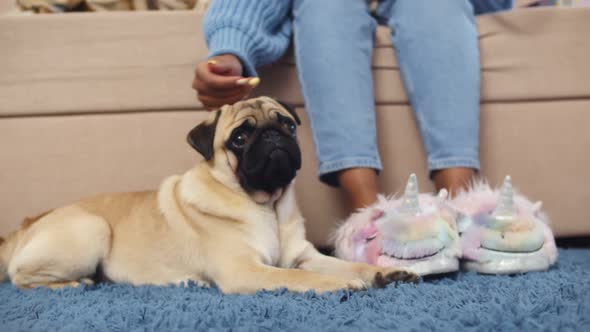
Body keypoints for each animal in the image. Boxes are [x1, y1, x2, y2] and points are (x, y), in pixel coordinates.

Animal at [0, 96, 418, 294]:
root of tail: (26, 226)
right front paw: (336, 284)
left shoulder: (305, 257)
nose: (272, 136)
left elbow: (346, 265)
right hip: (92, 230)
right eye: (240, 137)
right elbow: (299, 279)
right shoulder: (246, 269)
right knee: (20, 278)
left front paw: (382, 272)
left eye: (286, 124)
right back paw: (75, 284)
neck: (267, 206)